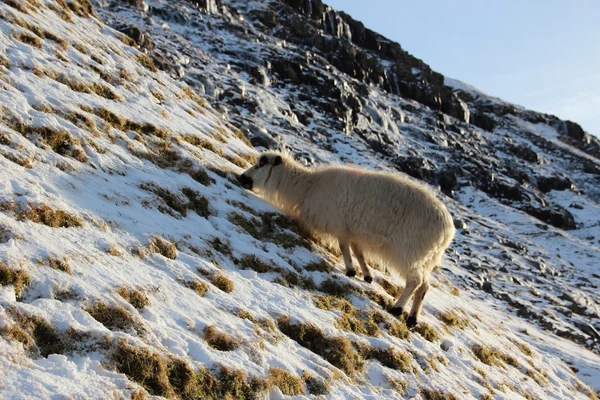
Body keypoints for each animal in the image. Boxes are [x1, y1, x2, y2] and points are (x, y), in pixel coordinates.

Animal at [238, 152, 454, 326]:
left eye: (261, 164)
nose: (241, 178)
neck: (306, 187)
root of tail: (447, 231)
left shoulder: (340, 225)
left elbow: (344, 247)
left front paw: (351, 270)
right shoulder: (351, 230)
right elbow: (357, 251)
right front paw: (366, 274)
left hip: (408, 251)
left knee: (415, 282)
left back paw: (398, 308)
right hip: (425, 259)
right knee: (424, 286)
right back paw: (412, 319)